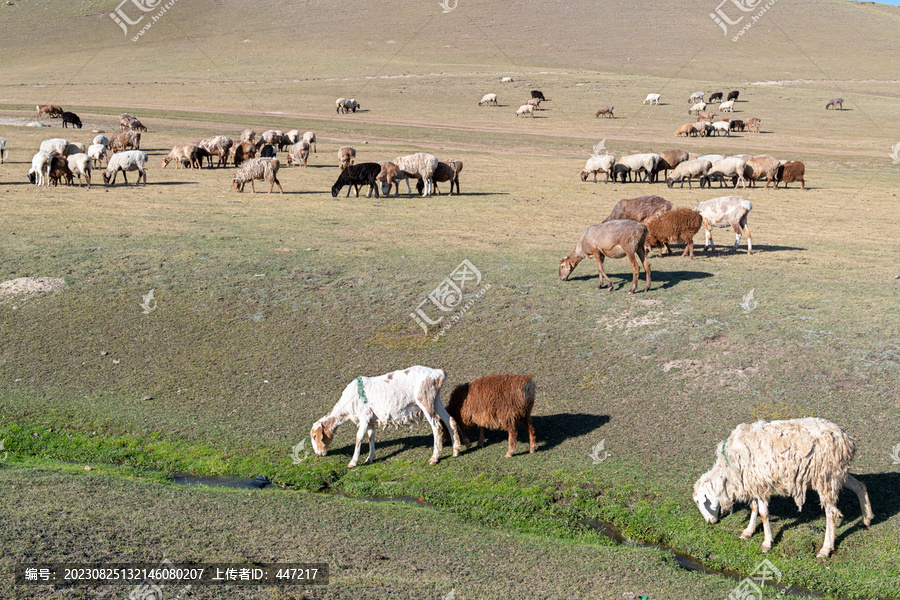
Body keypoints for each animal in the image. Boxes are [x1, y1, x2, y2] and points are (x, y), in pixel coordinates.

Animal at [312, 366, 464, 468]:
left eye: (315, 436)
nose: (318, 453)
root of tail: (438, 373)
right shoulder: (371, 420)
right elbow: (371, 436)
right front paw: (370, 458)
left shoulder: (364, 417)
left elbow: (358, 437)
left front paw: (353, 462)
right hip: (435, 400)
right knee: (450, 420)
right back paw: (456, 451)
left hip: (425, 400)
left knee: (437, 426)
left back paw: (434, 458)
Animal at [692, 418, 876, 556]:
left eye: (701, 502)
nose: (710, 522)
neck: (728, 472)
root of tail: (845, 438)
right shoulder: (754, 482)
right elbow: (754, 507)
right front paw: (748, 531)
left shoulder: (759, 482)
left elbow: (763, 513)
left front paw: (767, 543)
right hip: (836, 473)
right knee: (860, 486)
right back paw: (866, 519)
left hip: (825, 476)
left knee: (831, 513)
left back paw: (826, 549)